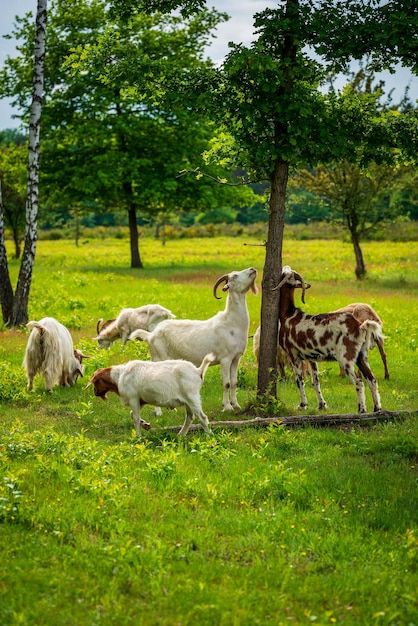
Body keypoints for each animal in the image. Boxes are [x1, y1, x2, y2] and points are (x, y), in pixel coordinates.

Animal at [85, 354, 216, 436]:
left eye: (95, 382)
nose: (95, 393)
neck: (119, 375)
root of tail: (198, 371)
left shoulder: (133, 398)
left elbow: (135, 417)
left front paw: (138, 436)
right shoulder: (141, 400)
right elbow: (132, 414)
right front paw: (146, 425)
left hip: (192, 397)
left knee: (202, 417)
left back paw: (209, 435)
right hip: (188, 400)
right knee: (190, 417)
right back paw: (181, 434)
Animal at [272, 264, 384, 414]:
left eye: (286, 273)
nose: (285, 266)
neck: (288, 315)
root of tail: (359, 325)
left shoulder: (294, 355)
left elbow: (299, 380)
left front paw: (303, 404)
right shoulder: (311, 357)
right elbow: (315, 381)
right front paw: (321, 405)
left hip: (346, 358)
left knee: (359, 382)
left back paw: (362, 409)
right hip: (361, 356)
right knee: (372, 380)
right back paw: (377, 409)